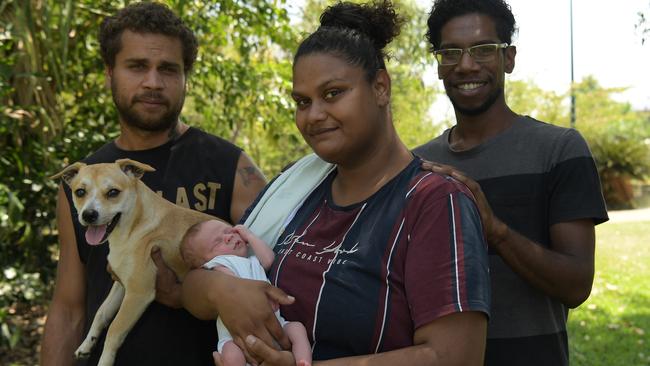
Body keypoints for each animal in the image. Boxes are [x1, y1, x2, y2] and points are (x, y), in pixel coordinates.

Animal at [53, 159, 215, 366]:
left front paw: (104, 361)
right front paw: (87, 344)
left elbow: (114, 329)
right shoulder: (121, 285)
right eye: (80, 192)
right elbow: (101, 313)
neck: (135, 225)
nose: (88, 214)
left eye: (113, 192)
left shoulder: (138, 293)